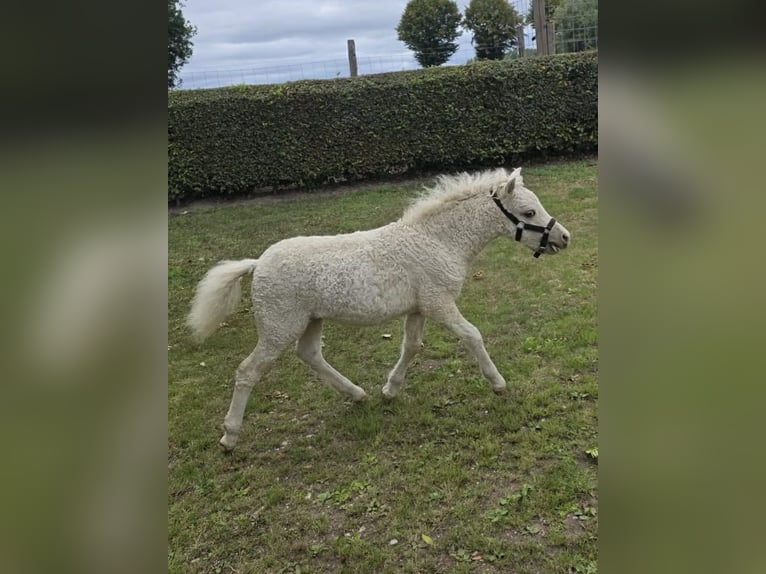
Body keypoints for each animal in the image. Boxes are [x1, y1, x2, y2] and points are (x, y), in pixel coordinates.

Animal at [187, 167, 571, 451]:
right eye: (529, 212)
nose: (564, 237)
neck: (437, 240)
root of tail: (257, 263)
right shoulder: (439, 302)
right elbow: (472, 336)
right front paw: (498, 383)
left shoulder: (418, 308)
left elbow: (412, 346)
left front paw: (390, 390)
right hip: (278, 327)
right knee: (248, 371)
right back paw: (229, 436)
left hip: (311, 321)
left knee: (310, 354)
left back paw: (357, 394)